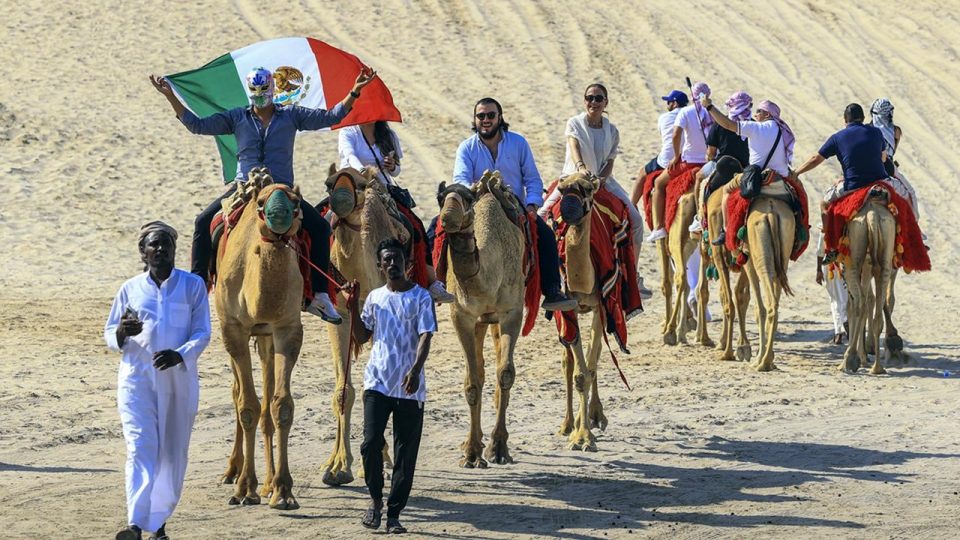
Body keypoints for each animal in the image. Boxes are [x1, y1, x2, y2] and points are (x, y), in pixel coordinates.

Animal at [217, 167, 304, 508]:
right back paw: (233, 471)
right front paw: (244, 489)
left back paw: (267, 483)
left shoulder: (286, 328)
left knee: (266, 399)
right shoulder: (233, 328)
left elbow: (281, 406)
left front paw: (282, 490)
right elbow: (247, 407)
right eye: (262, 202)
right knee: (237, 393)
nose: (279, 215)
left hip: (266, 337)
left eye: (296, 202)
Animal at [322, 166, 412, 486]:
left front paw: (374, 461)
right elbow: (343, 390)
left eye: (361, 186)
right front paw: (337, 466)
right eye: (328, 184)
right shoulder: (339, 316)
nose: (342, 198)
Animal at [436, 170, 520, 468]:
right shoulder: (462, 315)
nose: (448, 217)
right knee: (480, 370)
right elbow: (472, 382)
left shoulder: (512, 312)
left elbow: (505, 373)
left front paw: (498, 448)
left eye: (468, 199)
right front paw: (472, 453)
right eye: (441, 198)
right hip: (481, 321)